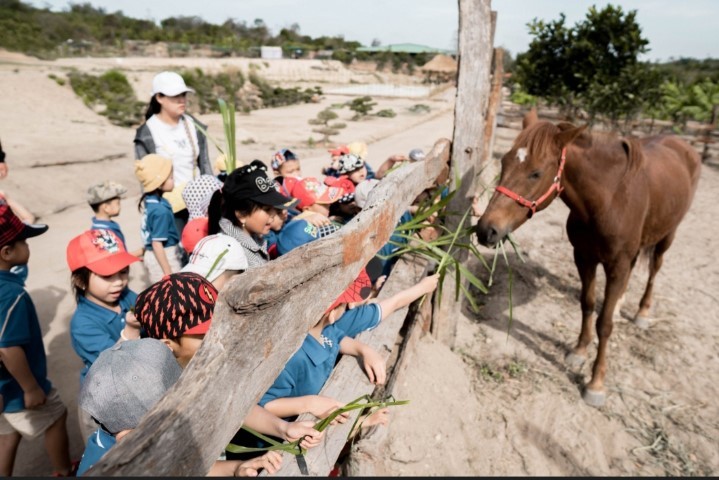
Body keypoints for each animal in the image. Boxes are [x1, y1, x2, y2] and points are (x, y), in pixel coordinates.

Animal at [476, 114, 700, 406]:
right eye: (504, 162)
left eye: (536, 173)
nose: (485, 230)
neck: (610, 199)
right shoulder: (584, 257)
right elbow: (588, 304)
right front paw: (580, 350)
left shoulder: (616, 265)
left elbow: (604, 323)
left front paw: (596, 383)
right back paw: (620, 303)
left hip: (667, 236)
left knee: (654, 269)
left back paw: (642, 312)